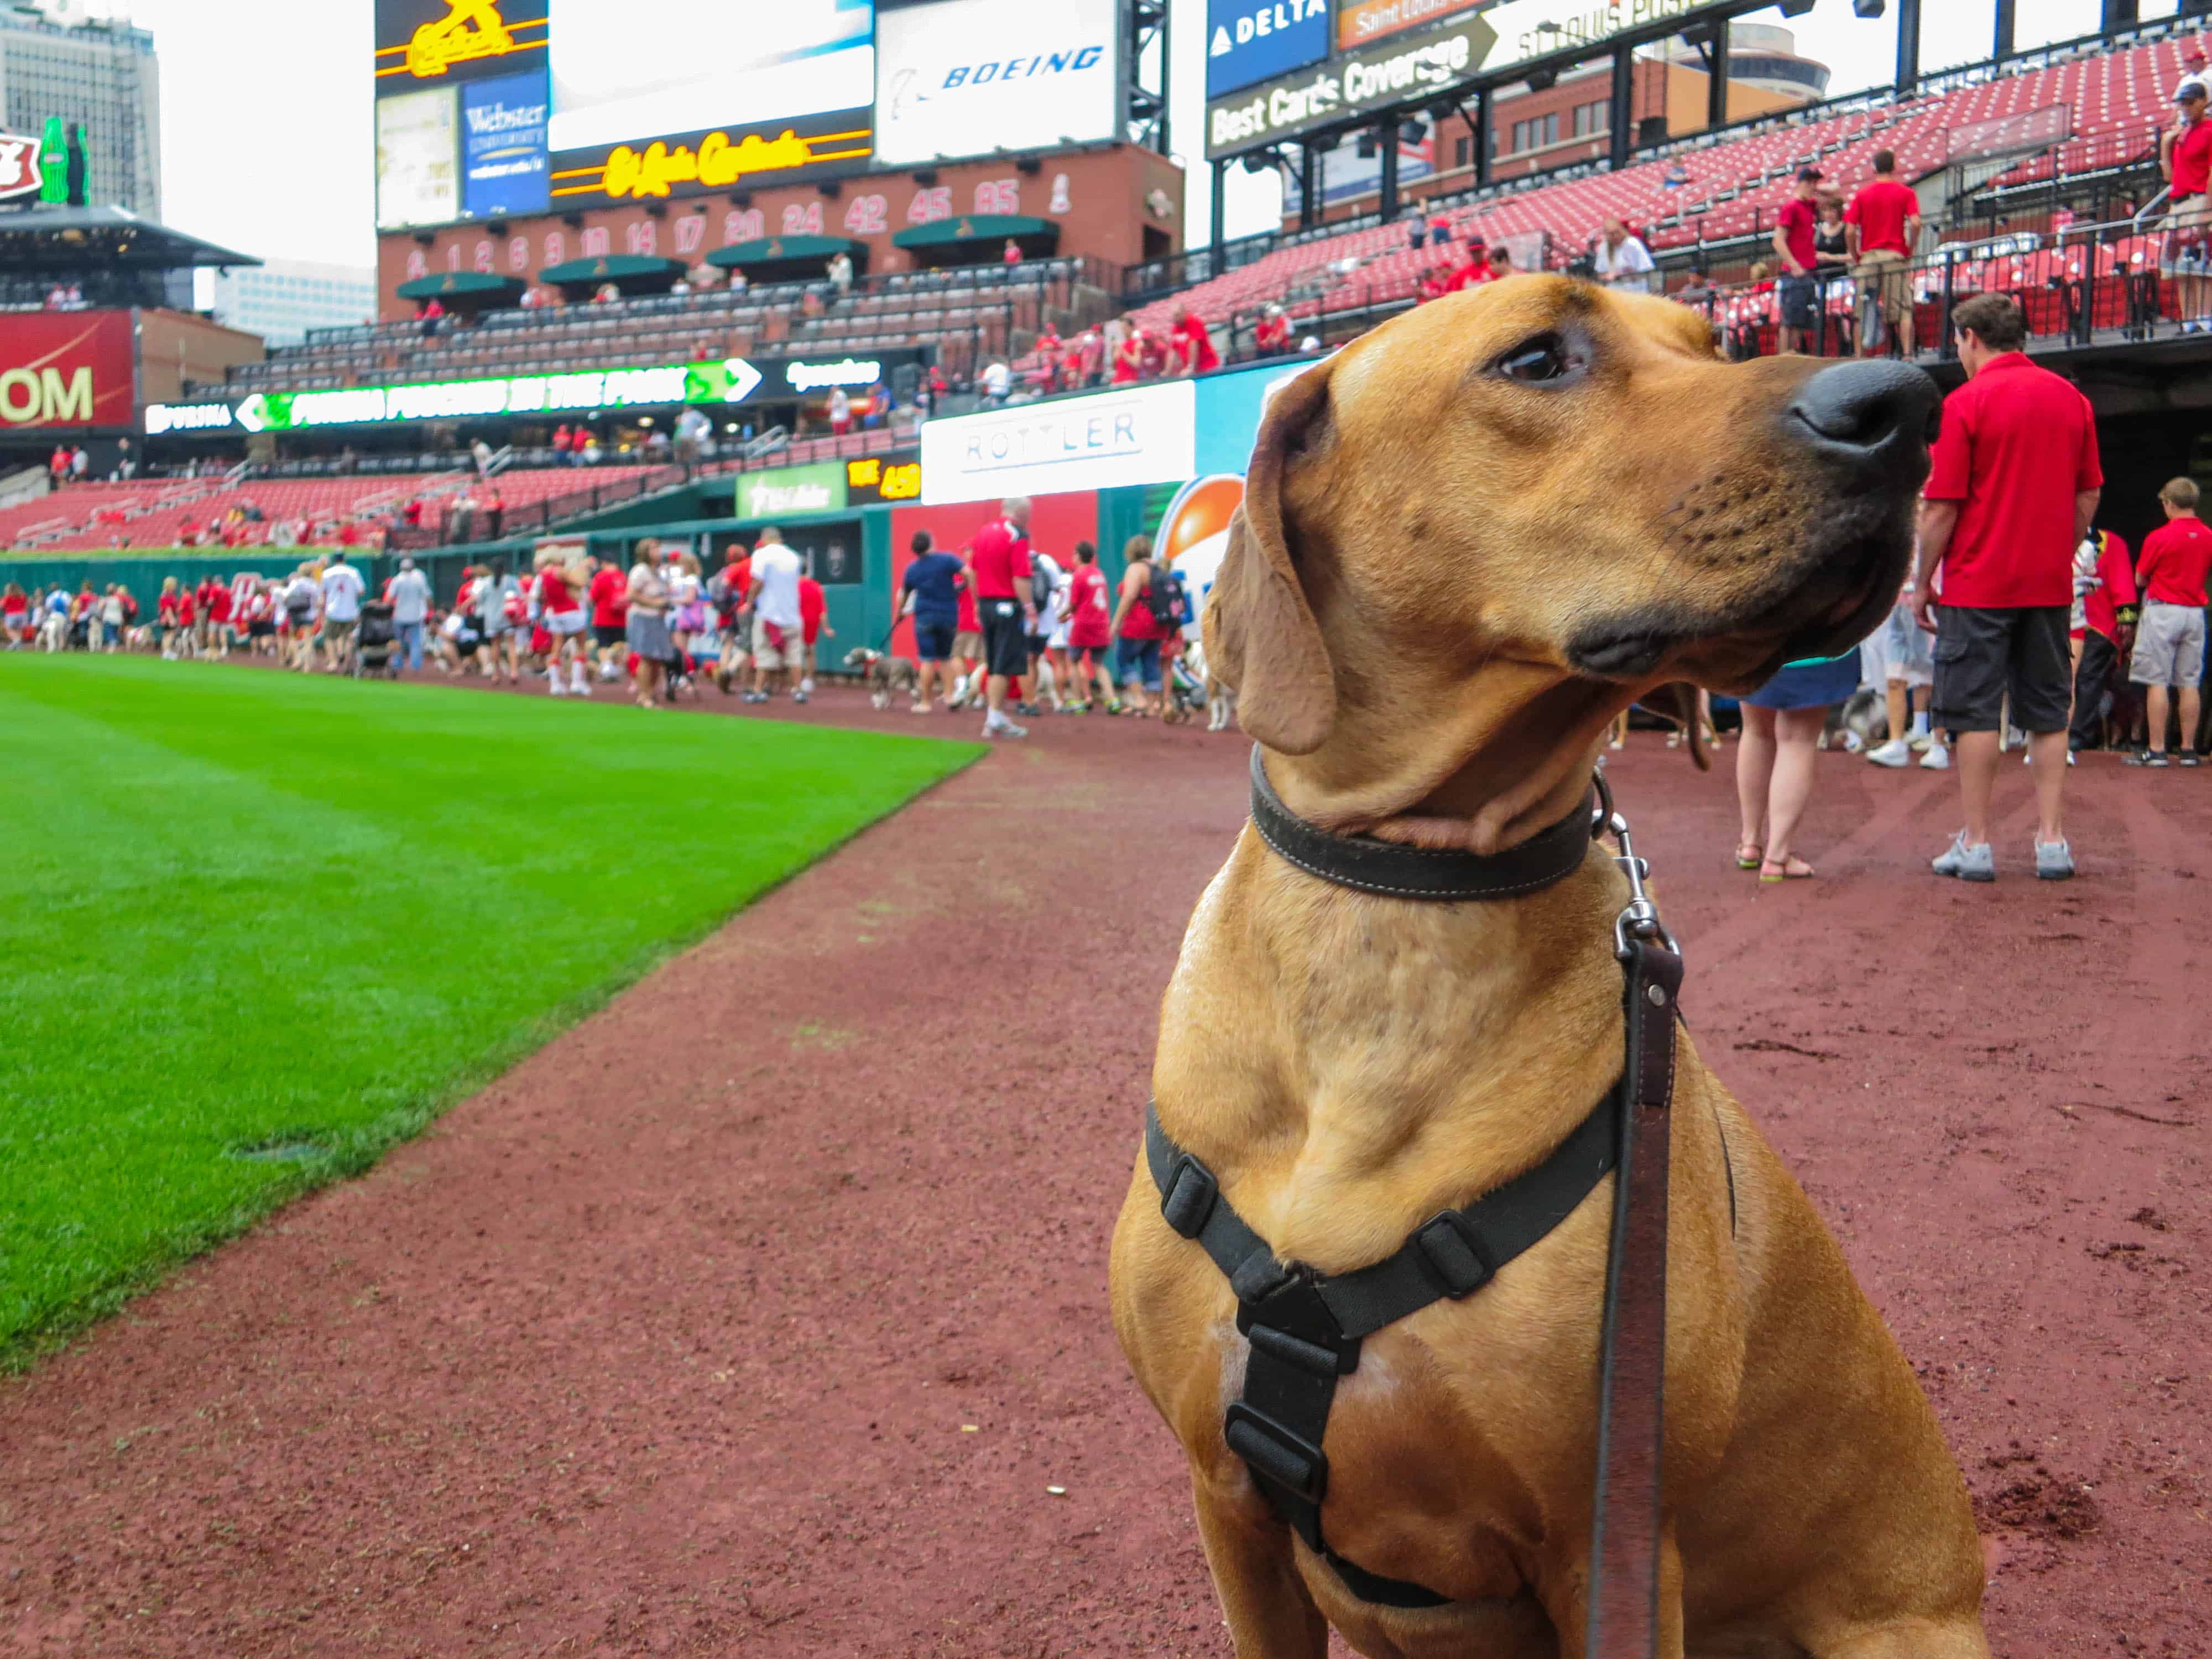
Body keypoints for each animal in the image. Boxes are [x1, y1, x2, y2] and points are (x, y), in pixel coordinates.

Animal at [841, 646, 920, 712]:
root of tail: (907, 664)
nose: (844, 659)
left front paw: (877, 704)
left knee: (894, 695)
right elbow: (884, 695)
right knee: (915, 692)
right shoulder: (884, 682)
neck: (870, 660)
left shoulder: (876, 681)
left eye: (852, 655)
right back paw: (915, 706)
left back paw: (888, 706)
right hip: (910, 680)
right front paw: (881, 704)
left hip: (893, 681)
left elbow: (876, 695)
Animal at [1106, 280, 1991, 1655]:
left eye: (1709, 342)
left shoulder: (1609, 1543)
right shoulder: (1226, 1499)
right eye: (1536, 358)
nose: (1903, 402)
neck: (1398, 918)